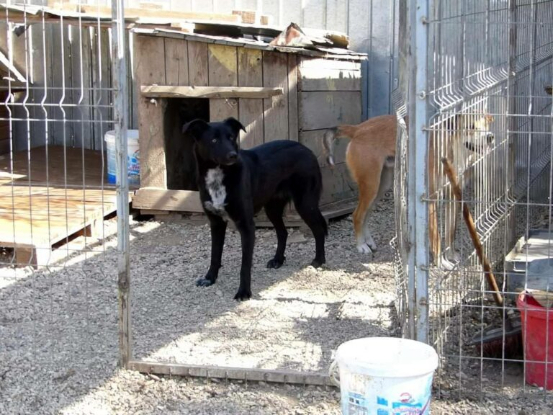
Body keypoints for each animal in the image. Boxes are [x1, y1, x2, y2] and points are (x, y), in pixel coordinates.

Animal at [183, 117, 327, 301]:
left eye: (231, 137)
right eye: (214, 140)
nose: (233, 155)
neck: (218, 176)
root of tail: (306, 149)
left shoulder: (246, 225)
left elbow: (244, 265)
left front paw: (244, 292)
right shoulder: (216, 223)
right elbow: (215, 255)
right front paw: (210, 278)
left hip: (305, 204)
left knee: (319, 230)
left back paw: (319, 260)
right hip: (272, 208)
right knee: (283, 232)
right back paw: (278, 260)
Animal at [323, 113, 494, 269]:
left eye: (486, 126)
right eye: (471, 127)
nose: (490, 137)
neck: (452, 150)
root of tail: (358, 128)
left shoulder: (453, 198)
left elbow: (450, 233)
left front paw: (451, 255)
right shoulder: (431, 201)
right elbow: (437, 238)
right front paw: (441, 263)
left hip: (380, 187)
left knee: (366, 214)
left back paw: (369, 241)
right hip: (371, 185)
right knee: (357, 215)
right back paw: (361, 246)